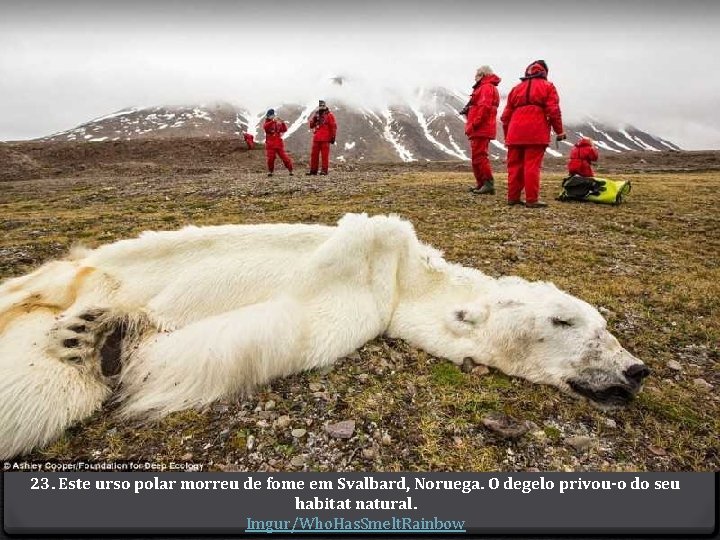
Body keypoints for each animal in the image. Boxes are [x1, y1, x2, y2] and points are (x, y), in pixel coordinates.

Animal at [0, 213, 648, 458]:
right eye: (564, 320)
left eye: (604, 325)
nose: (635, 369)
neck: (405, 277)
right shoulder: (366, 269)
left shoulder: (360, 307)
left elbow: (262, 333)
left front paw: (107, 340)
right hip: (81, 269)